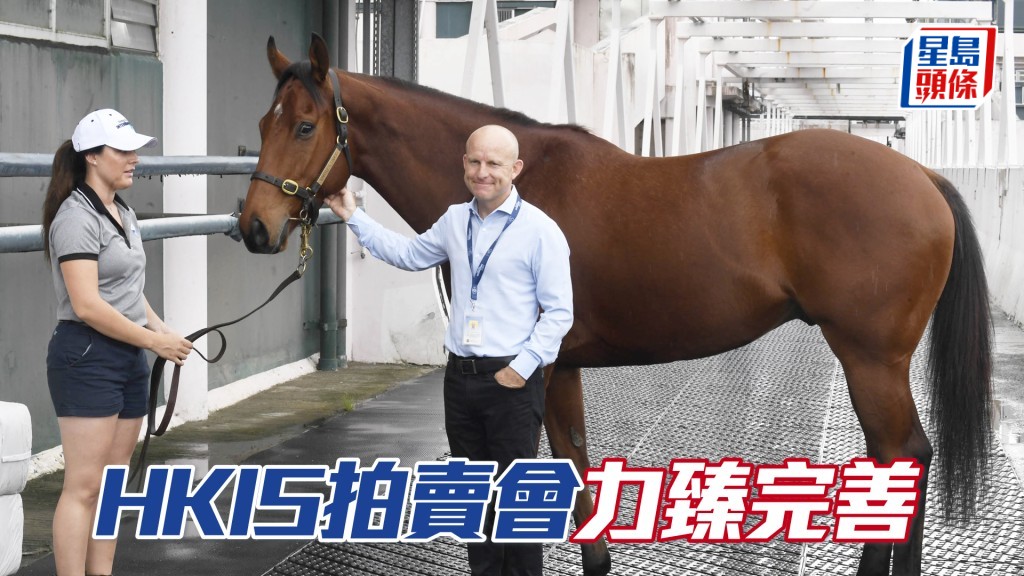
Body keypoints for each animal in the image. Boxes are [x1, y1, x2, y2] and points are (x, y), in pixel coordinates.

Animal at [238, 34, 992, 576]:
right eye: (263, 120)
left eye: (305, 126)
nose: (254, 227)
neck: (520, 187)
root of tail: (920, 176)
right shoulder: (561, 369)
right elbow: (574, 464)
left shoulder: (535, 367)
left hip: (870, 358)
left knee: (903, 455)